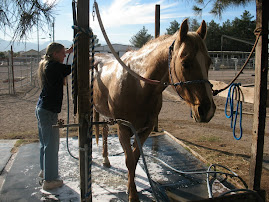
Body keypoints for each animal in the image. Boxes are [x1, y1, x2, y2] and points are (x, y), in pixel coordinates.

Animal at [92, 18, 216, 200]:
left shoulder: (146, 129)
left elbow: (135, 159)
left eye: (209, 62)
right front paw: (132, 195)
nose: (207, 109)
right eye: (185, 63)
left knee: (105, 131)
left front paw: (131, 189)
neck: (138, 85)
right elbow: (129, 160)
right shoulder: (123, 128)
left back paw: (106, 159)